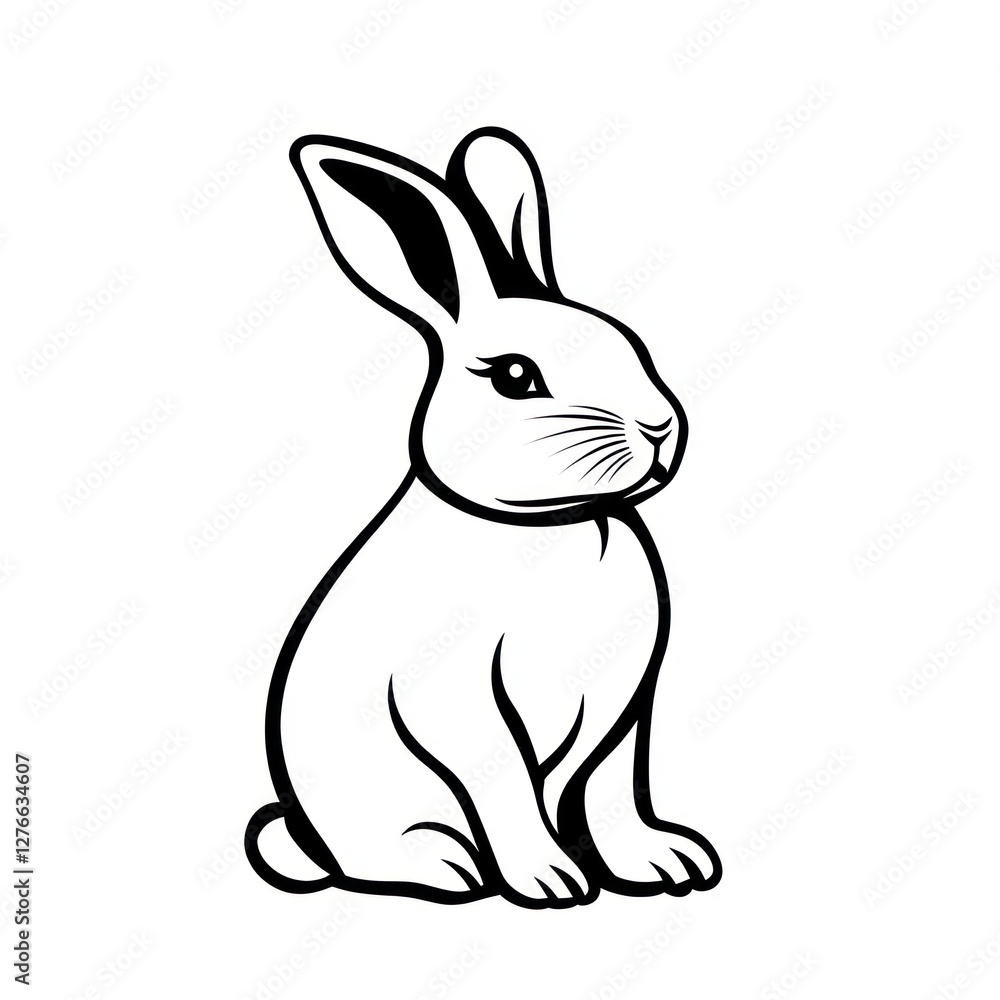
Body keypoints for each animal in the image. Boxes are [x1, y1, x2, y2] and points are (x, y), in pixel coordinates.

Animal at [245, 126, 721, 909]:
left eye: (629, 343)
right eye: (515, 377)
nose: (659, 428)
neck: (557, 524)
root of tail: (311, 843)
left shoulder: (627, 709)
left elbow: (615, 789)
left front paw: (661, 863)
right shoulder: (462, 697)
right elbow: (506, 784)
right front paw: (550, 880)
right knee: (383, 856)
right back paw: (448, 866)